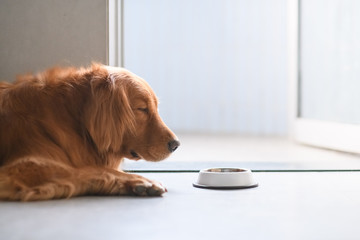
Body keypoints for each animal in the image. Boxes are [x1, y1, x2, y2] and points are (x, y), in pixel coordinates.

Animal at [0, 63, 180, 201]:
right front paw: (141, 181)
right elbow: (91, 169)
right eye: (142, 109)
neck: (72, 120)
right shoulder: (22, 166)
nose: (176, 144)